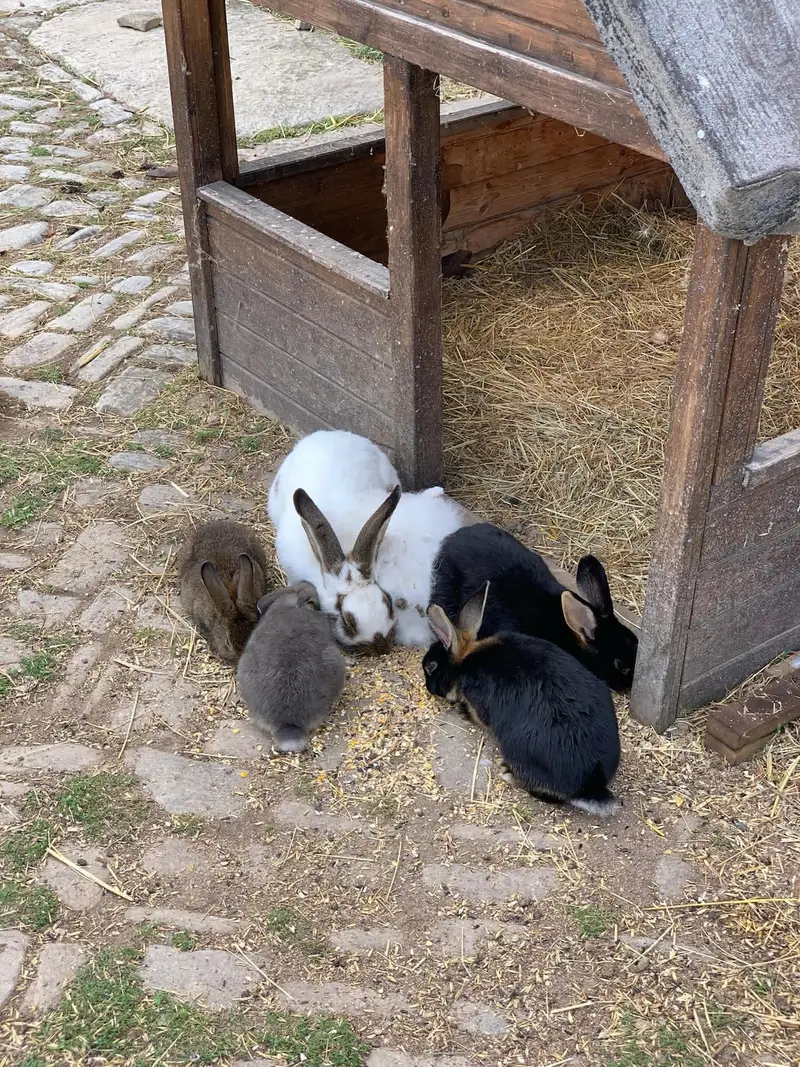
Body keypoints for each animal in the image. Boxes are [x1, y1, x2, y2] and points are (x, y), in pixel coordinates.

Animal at [423, 582, 621, 816]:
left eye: (431, 667)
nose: (428, 687)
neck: (465, 658)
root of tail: (589, 784)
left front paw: (464, 712)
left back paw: (508, 773)